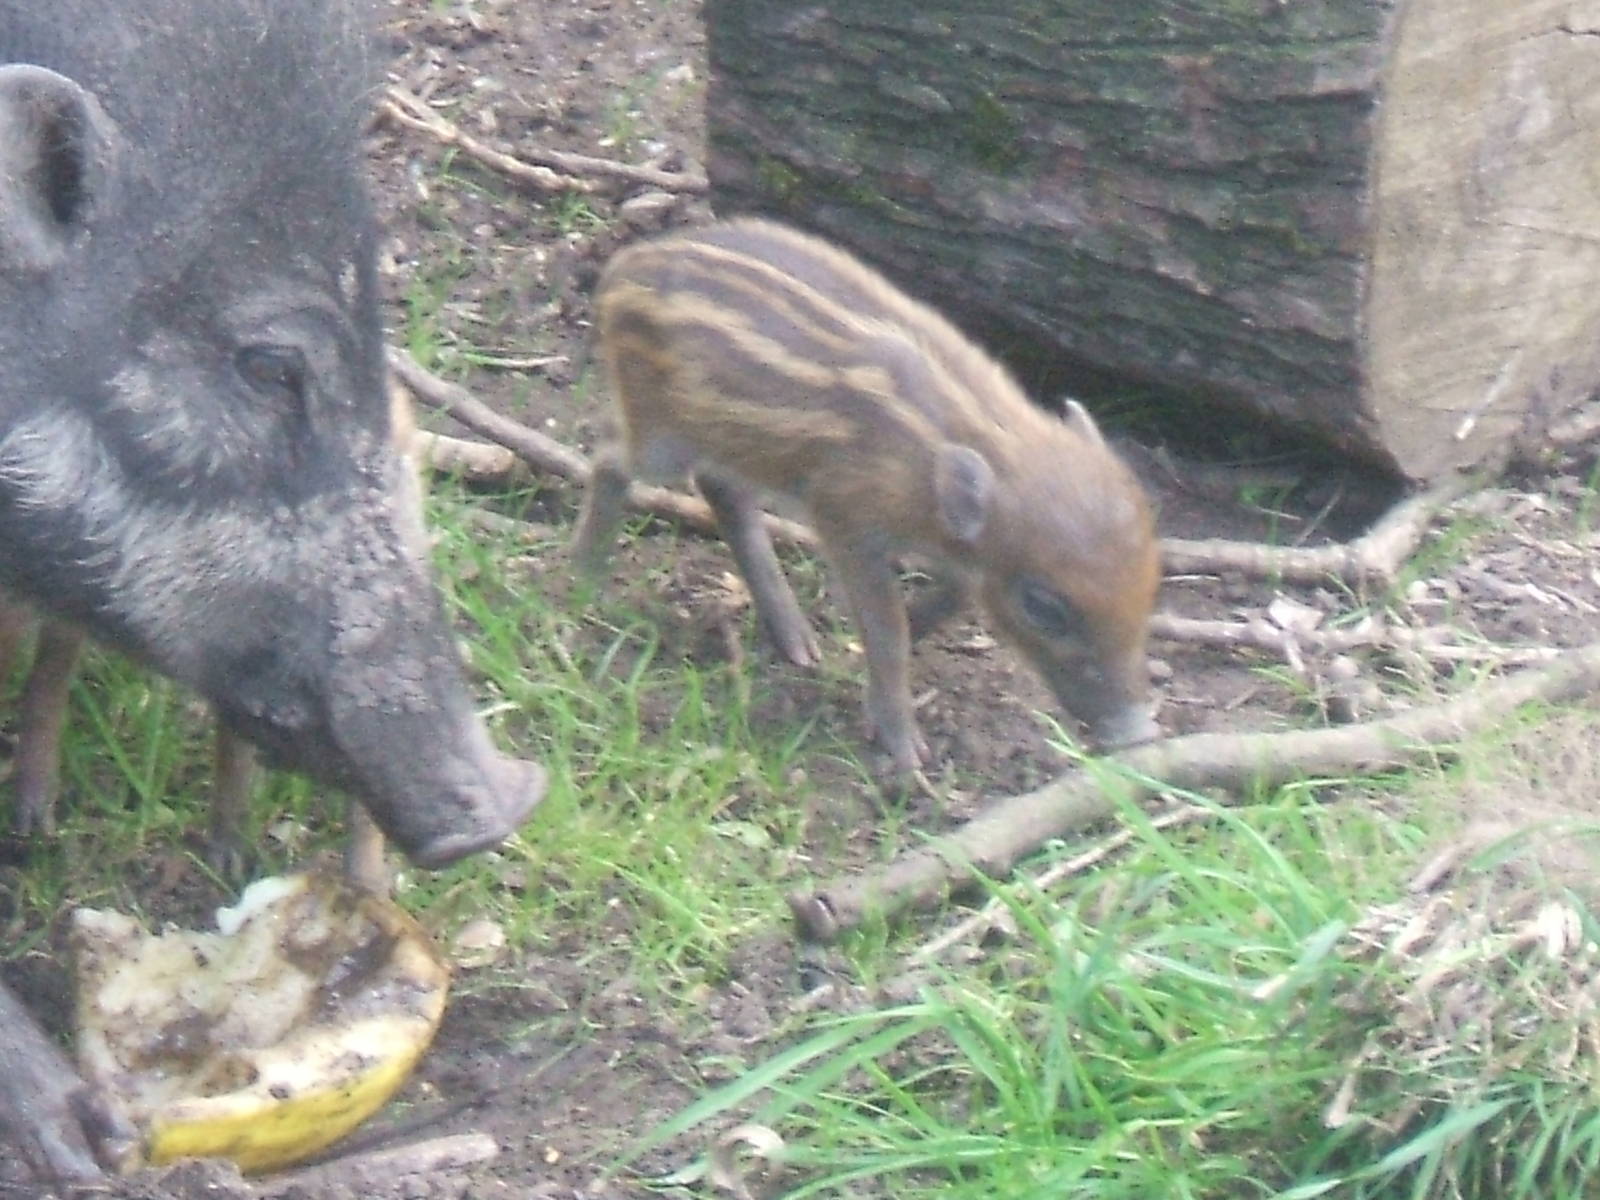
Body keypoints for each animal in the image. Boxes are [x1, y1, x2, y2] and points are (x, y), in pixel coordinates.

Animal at [573, 218, 1161, 773]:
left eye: (1151, 588)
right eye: (1043, 607)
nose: (1138, 734)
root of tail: (620, 269)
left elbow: (951, 598)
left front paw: (868, 647)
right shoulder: (847, 517)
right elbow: (885, 628)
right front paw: (904, 752)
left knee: (724, 492)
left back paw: (800, 644)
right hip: (659, 434)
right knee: (610, 457)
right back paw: (582, 581)